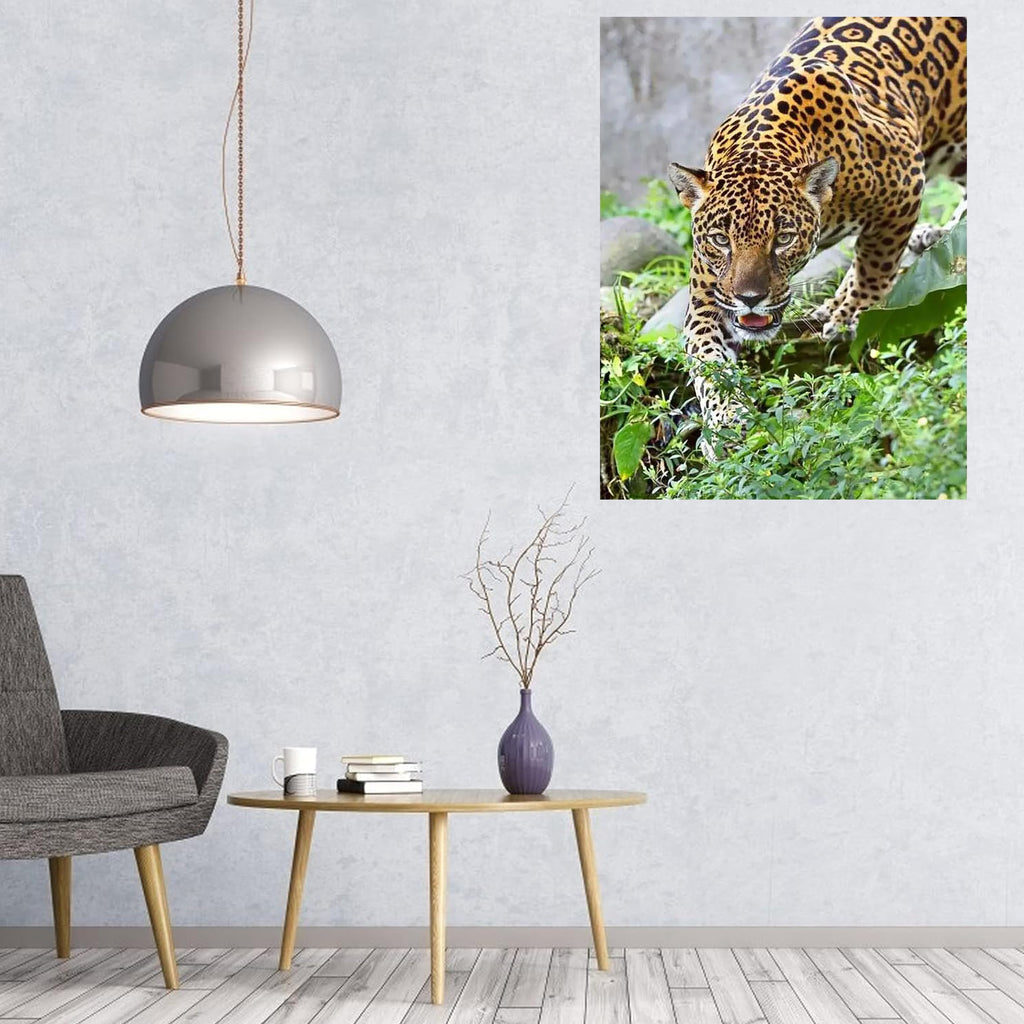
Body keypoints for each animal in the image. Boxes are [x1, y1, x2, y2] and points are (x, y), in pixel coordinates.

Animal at [667, 16, 966, 457]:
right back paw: (938, 234)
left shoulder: (905, 181)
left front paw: (847, 314)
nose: (750, 298)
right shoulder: (710, 294)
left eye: (783, 238)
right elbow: (707, 358)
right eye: (721, 240)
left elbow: (875, 262)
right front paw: (725, 422)